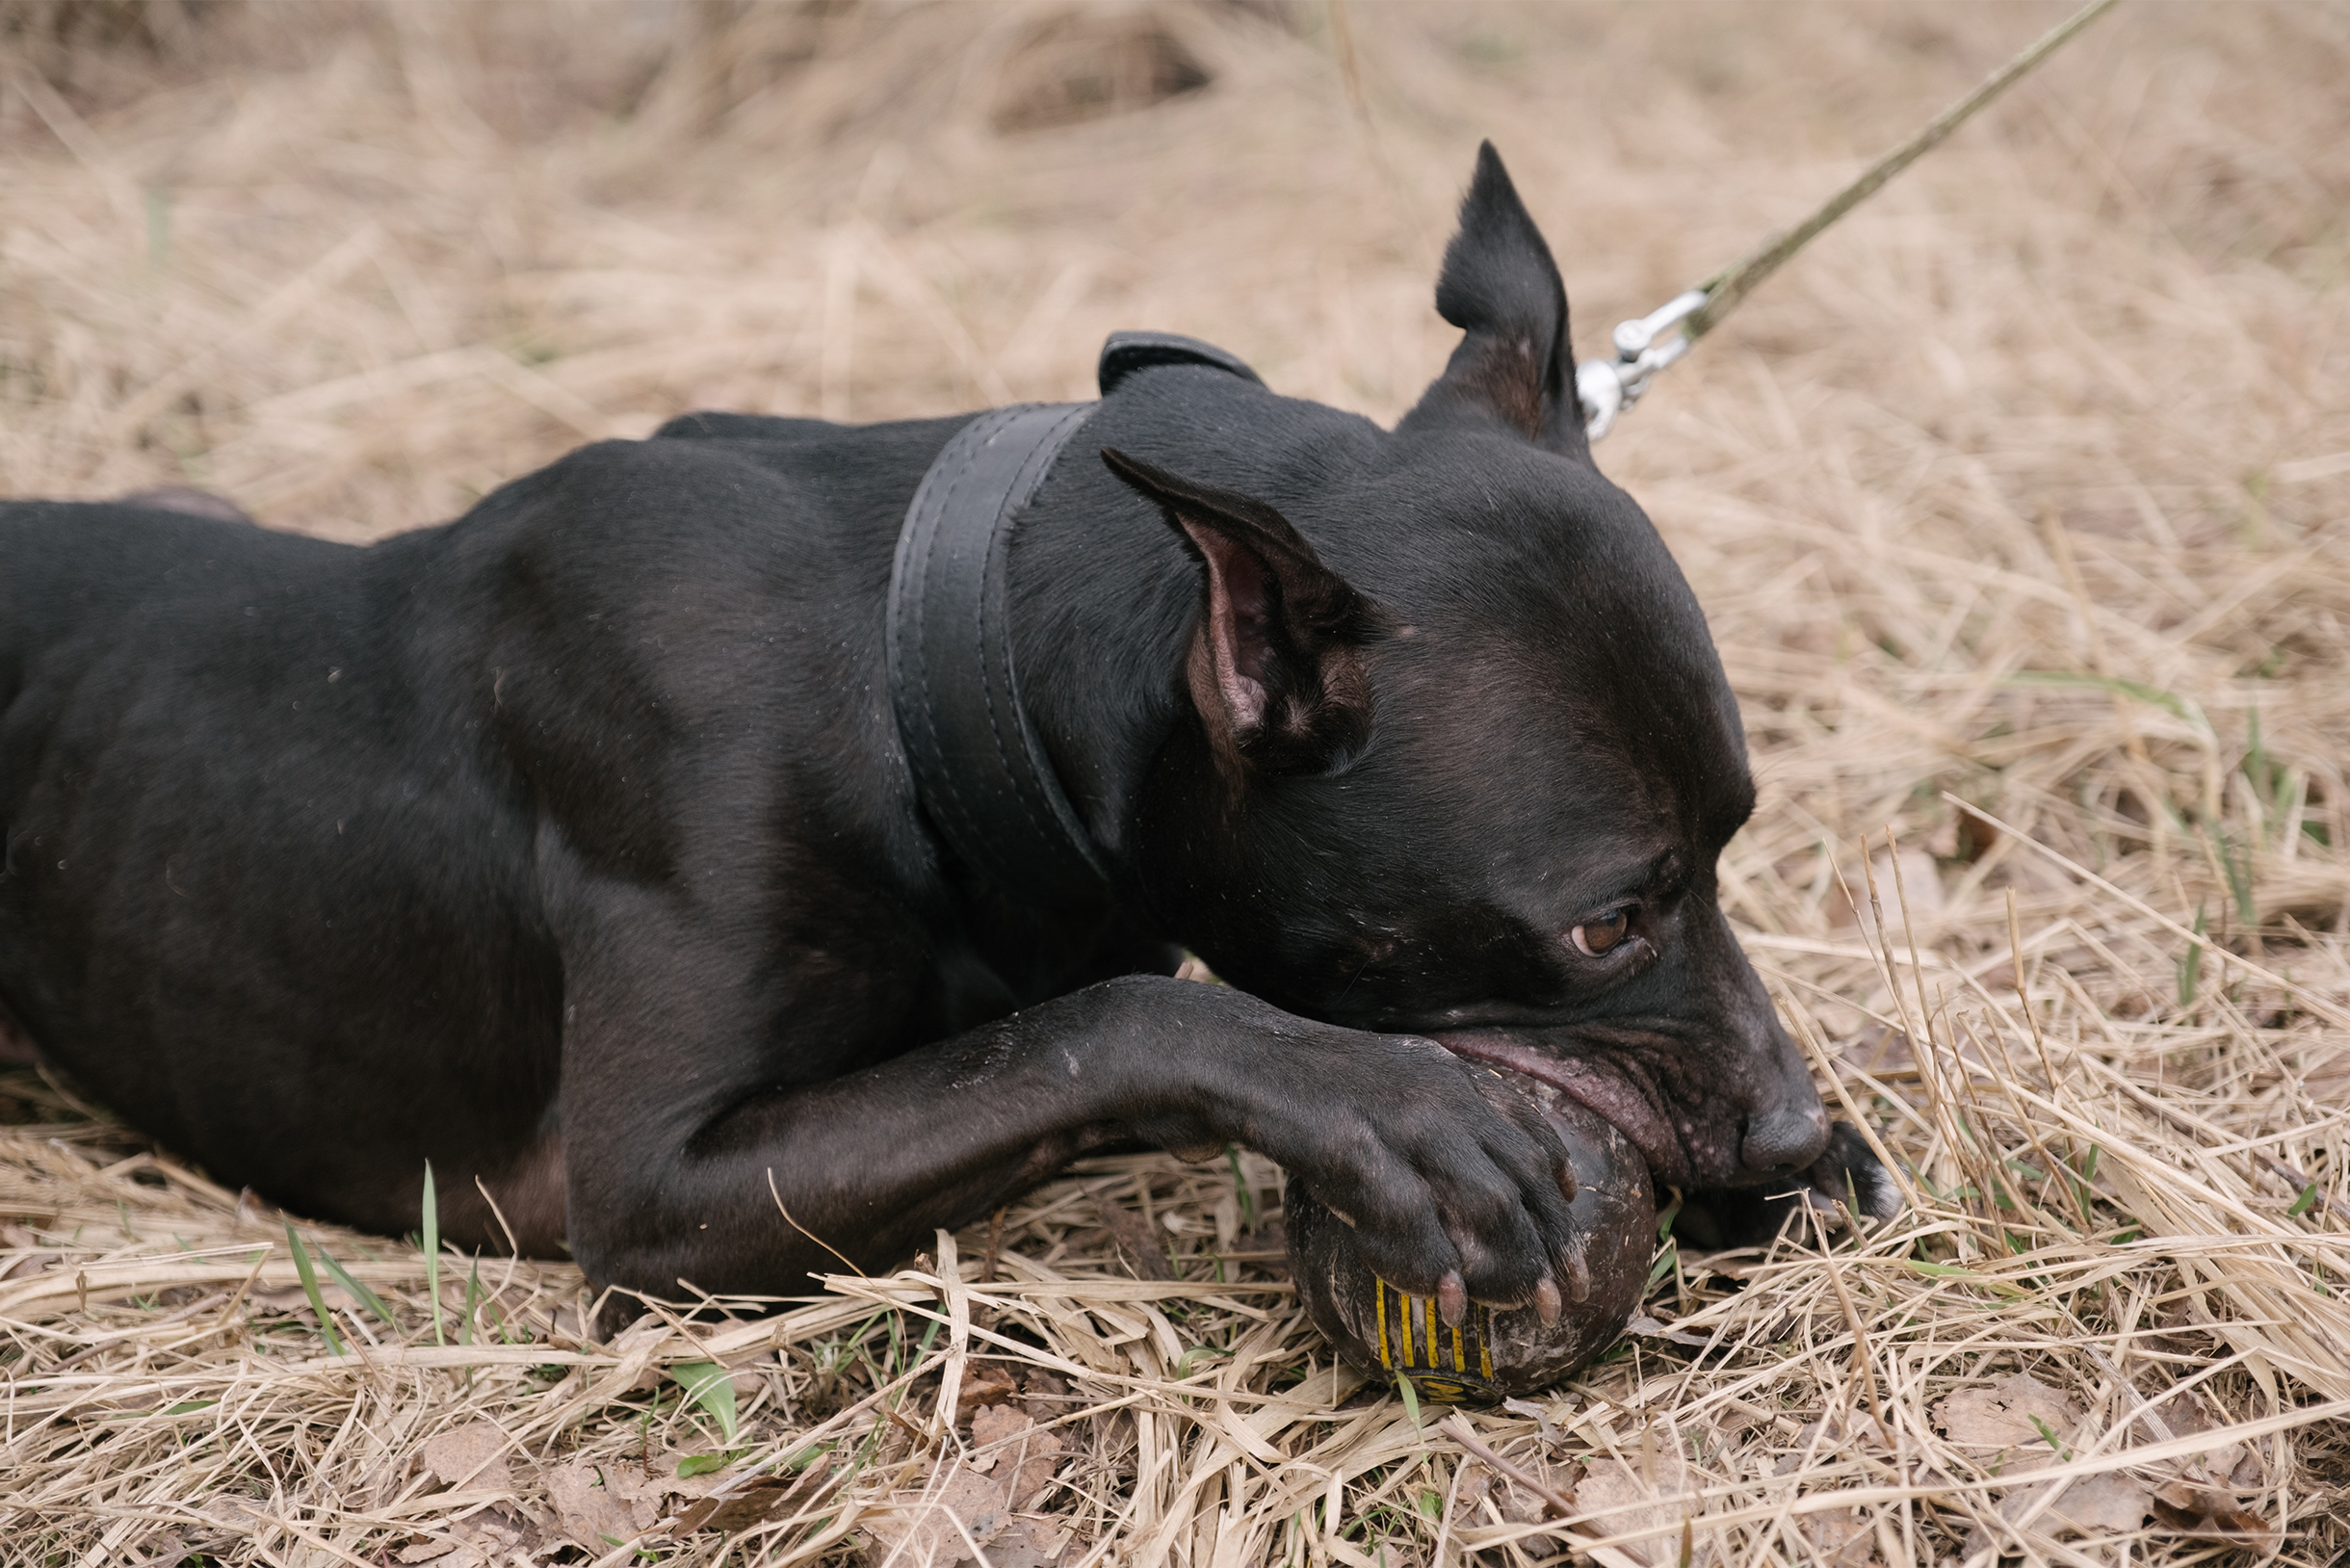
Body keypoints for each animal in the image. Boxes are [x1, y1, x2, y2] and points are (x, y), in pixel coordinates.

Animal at [0, 144, 1889, 1325]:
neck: (927, 671)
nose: (1787, 1131)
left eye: (1737, 838)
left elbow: (1054, 1029)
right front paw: (1386, 1104)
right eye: (1608, 919)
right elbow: (1103, 1028)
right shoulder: (654, 1189)